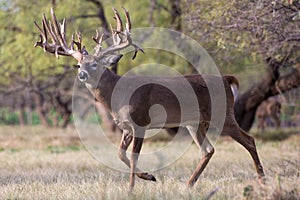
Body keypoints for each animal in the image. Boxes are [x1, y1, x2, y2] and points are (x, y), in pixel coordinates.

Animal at [34, 6, 264, 191]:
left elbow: (133, 156)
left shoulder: (140, 121)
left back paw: (262, 178)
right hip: (195, 122)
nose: (82, 74)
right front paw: (149, 176)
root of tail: (226, 79)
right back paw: (189, 185)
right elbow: (120, 155)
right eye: (79, 64)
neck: (119, 96)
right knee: (208, 149)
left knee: (249, 140)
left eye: (95, 64)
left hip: (222, 114)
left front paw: (131, 189)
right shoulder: (126, 127)